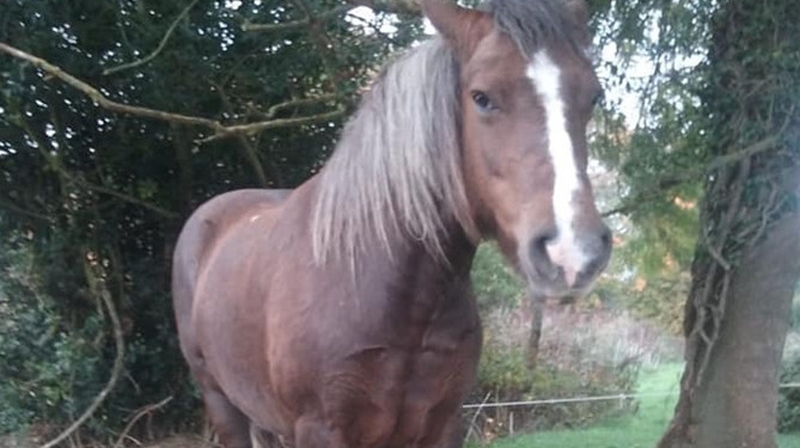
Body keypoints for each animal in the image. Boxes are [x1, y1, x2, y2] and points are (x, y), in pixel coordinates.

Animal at [171, 0, 611, 446]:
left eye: (594, 95)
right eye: (482, 97)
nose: (573, 251)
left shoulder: (443, 423)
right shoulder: (320, 429)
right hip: (221, 402)